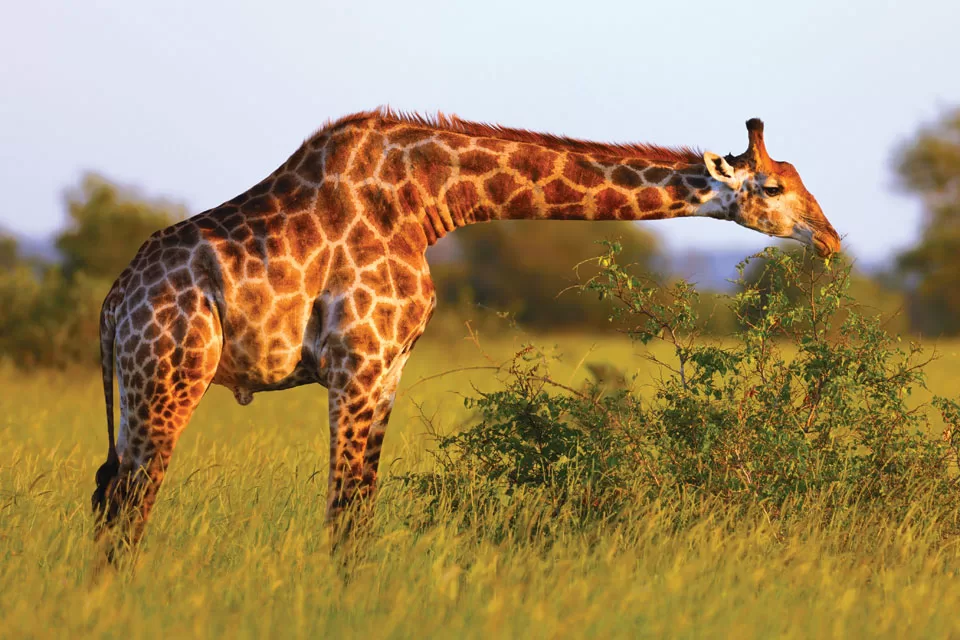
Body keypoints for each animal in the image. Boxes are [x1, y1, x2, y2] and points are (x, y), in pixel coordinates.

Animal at [91, 108, 841, 553]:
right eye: (773, 187)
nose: (831, 238)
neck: (430, 200)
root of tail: (113, 304)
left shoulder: (390, 367)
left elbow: (359, 508)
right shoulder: (359, 361)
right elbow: (345, 510)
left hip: (134, 388)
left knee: (107, 493)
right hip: (172, 375)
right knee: (131, 505)